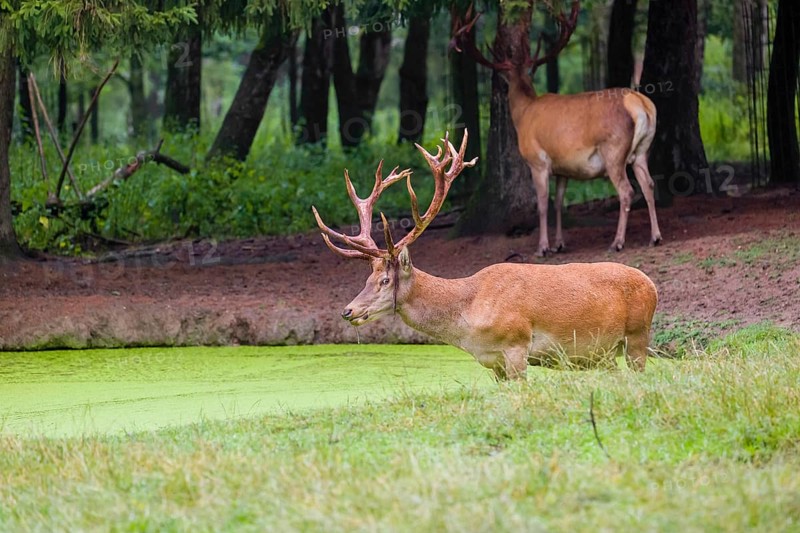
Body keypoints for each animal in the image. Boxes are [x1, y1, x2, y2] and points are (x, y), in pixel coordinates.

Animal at [311, 130, 658, 381]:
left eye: (384, 280)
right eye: (367, 278)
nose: (348, 311)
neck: (468, 318)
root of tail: (653, 286)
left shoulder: (517, 344)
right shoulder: (493, 363)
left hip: (637, 336)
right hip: (605, 354)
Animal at [453, 0, 662, 257]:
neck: (523, 114)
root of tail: (640, 103)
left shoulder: (537, 160)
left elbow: (543, 204)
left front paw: (542, 247)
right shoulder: (563, 167)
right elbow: (560, 202)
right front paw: (560, 243)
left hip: (613, 149)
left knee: (627, 191)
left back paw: (617, 242)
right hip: (642, 150)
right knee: (649, 184)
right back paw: (655, 236)